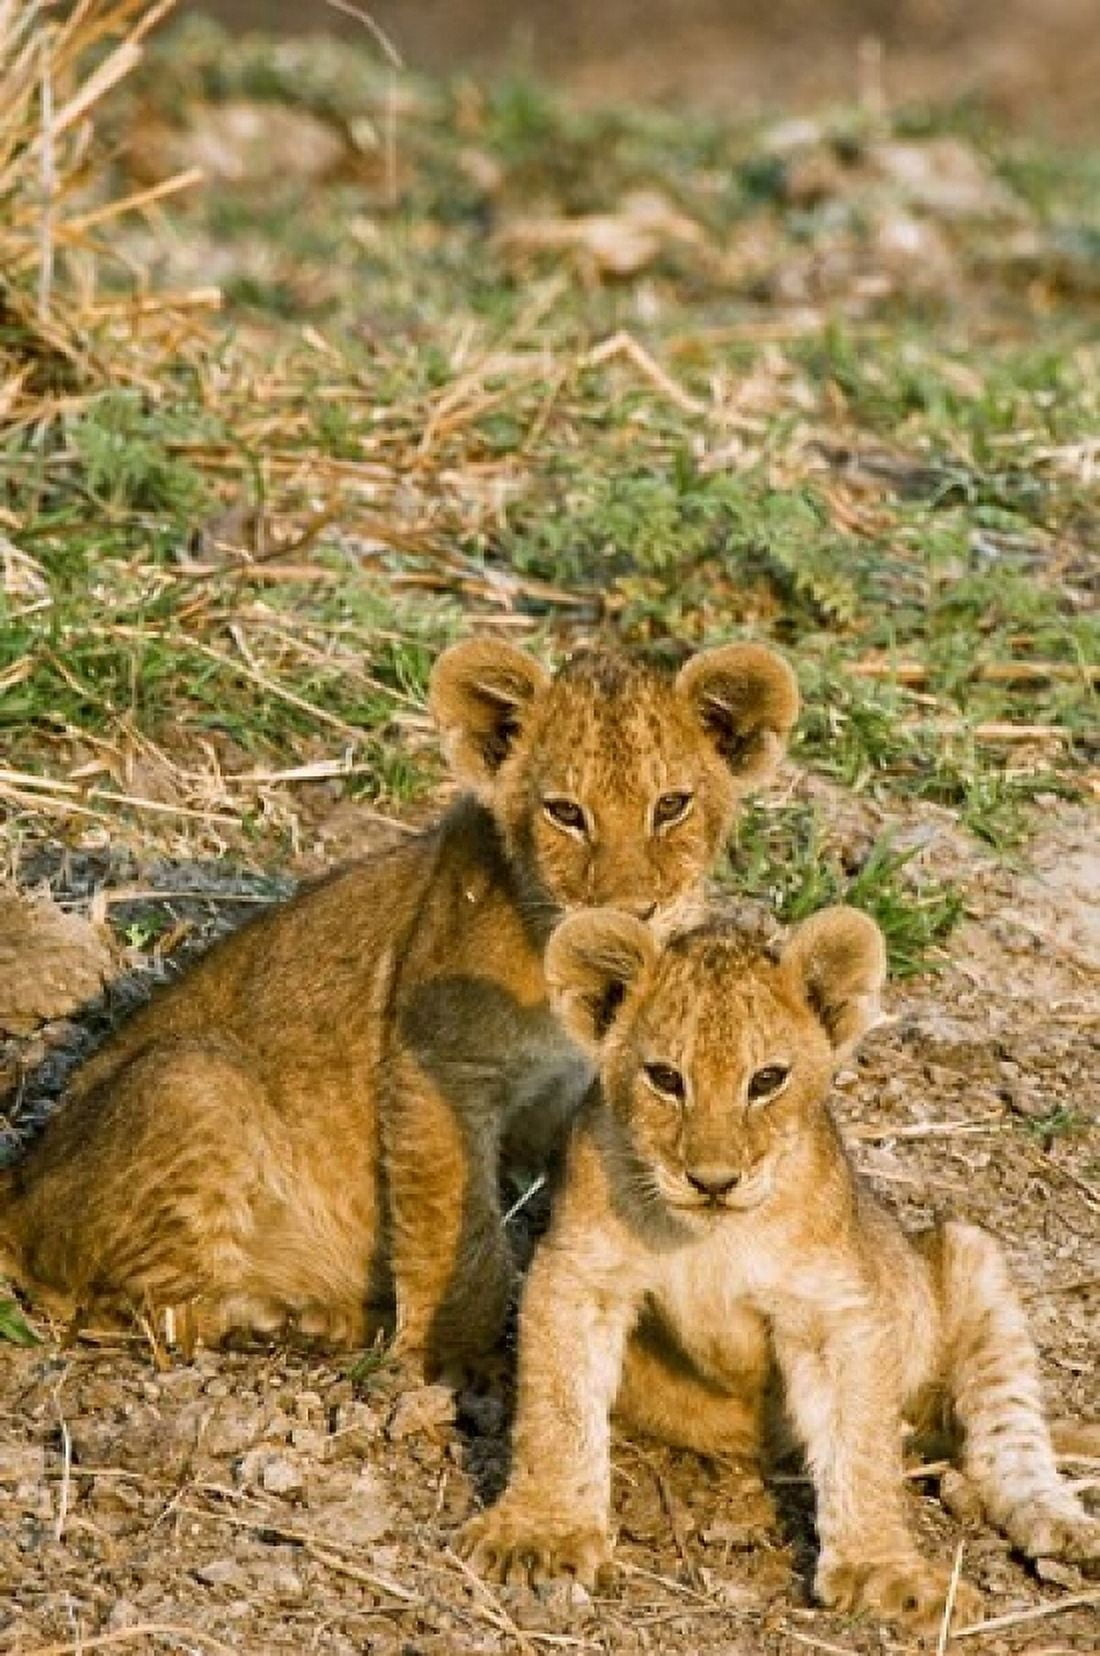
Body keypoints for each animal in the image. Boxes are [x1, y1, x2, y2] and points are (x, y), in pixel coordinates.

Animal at [0, 639, 797, 1377]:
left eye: (672, 806)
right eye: (566, 813)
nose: (634, 909)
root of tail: (20, 1181)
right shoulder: (434, 1069)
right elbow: (460, 1234)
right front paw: (447, 1363)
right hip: (196, 1079)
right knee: (121, 1312)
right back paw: (285, 1324)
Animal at [462, 904, 1099, 1628]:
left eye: (766, 1080)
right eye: (665, 1078)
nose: (713, 1181)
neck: (710, 1239)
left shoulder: (836, 1310)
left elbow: (861, 1444)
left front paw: (883, 1571)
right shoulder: (579, 1274)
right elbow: (558, 1408)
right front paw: (541, 1533)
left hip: (970, 1253)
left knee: (1008, 1427)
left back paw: (1059, 1524)